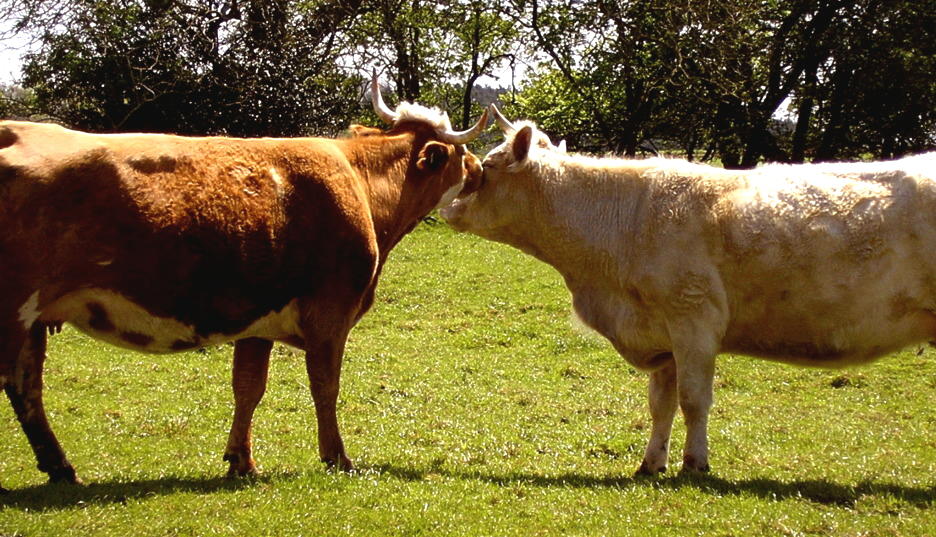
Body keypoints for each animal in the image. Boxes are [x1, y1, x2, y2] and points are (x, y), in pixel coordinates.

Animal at [0, 76, 486, 490]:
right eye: (457, 155)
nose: (479, 166)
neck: (363, 184)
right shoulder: (330, 311)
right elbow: (325, 384)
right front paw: (337, 457)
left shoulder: (258, 321)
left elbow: (248, 387)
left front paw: (242, 460)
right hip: (14, 309)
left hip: (32, 319)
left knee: (26, 387)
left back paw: (61, 468)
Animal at [442, 105, 936, 474]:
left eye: (487, 166)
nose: (448, 208)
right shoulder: (661, 335)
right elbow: (660, 404)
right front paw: (651, 463)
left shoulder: (694, 320)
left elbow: (694, 400)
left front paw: (695, 463)